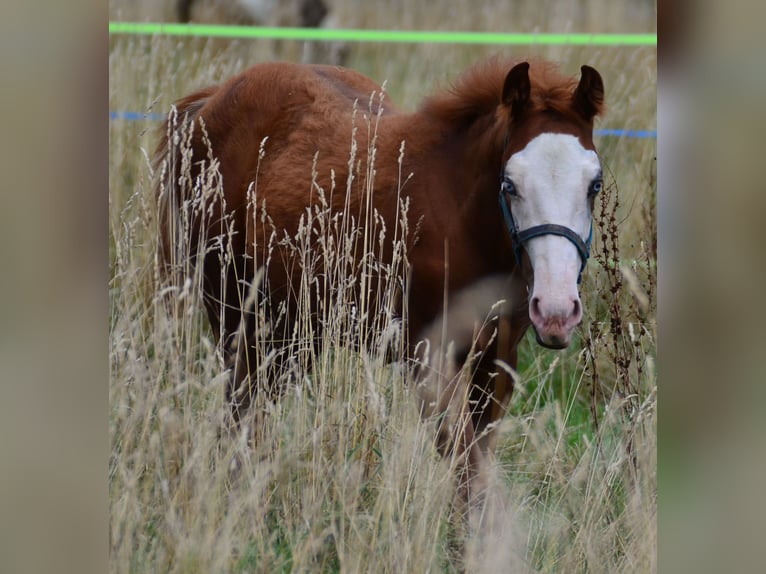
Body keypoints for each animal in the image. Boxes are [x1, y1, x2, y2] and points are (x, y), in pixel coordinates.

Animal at [154, 56, 604, 502]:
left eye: (594, 185)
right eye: (509, 185)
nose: (556, 311)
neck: (457, 218)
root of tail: (210, 101)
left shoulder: (497, 364)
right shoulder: (428, 359)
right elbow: (465, 467)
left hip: (292, 332)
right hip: (235, 317)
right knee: (239, 416)